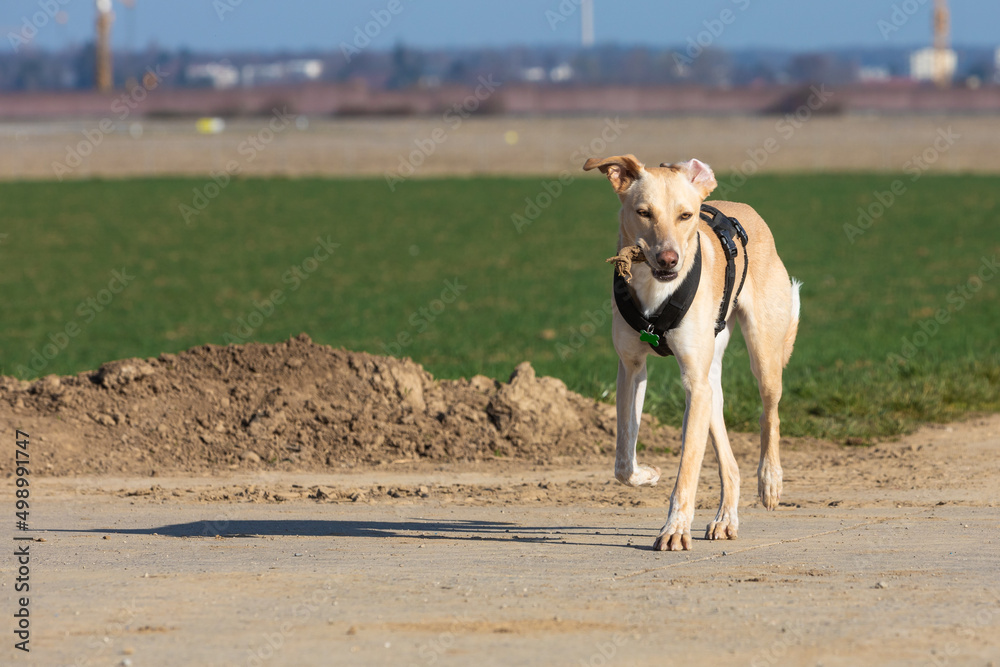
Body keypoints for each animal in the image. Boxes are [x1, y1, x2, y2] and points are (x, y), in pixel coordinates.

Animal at [584, 154, 800, 552]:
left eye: (686, 215)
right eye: (643, 212)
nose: (669, 259)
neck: (656, 292)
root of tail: (746, 211)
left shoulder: (694, 384)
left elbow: (687, 469)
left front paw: (674, 529)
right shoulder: (631, 369)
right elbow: (623, 460)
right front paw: (647, 474)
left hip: (761, 356)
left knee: (770, 414)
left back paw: (770, 481)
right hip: (710, 382)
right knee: (730, 463)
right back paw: (725, 519)